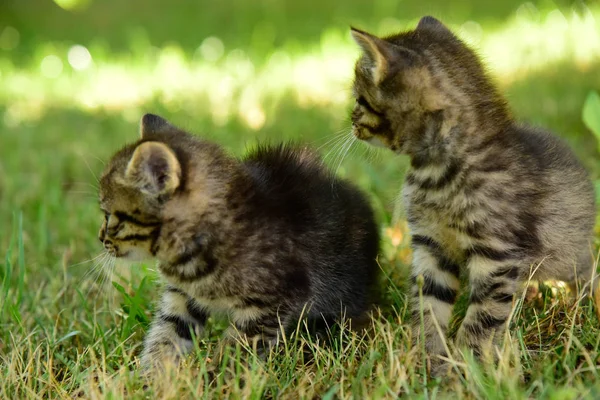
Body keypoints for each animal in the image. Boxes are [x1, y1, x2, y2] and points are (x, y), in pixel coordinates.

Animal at [98, 113, 380, 368]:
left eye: (109, 216)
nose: (101, 239)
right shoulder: (182, 297)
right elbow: (165, 336)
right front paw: (151, 378)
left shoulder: (271, 303)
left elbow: (238, 350)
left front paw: (218, 380)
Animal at [350, 15, 596, 372]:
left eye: (359, 100)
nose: (351, 121)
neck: (438, 173)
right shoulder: (430, 246)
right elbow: (429, 305)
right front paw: (430, 360)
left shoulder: (496, 256)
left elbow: (482, 318)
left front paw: (468, 367)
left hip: (568, 255)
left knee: (586, 270)